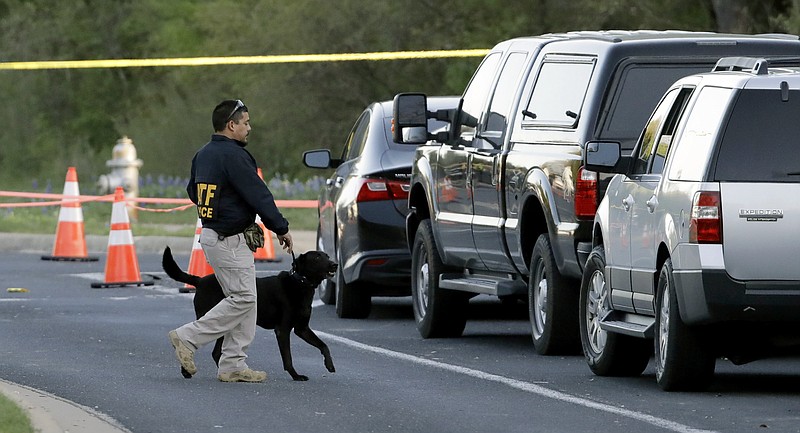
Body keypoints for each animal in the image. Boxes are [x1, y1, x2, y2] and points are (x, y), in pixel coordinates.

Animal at [162, 245, 338, 380]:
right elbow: (288, 357)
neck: (300, 283)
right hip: (212, 319)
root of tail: (200, 280)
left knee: (215, 352)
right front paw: (296, 376)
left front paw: (329, 365)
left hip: (225, 324)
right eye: (317, 258)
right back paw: (187, 369)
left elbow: (324, 345)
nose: (335, 264)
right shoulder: (282, 330)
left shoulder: (302, 329)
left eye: (327, 256)